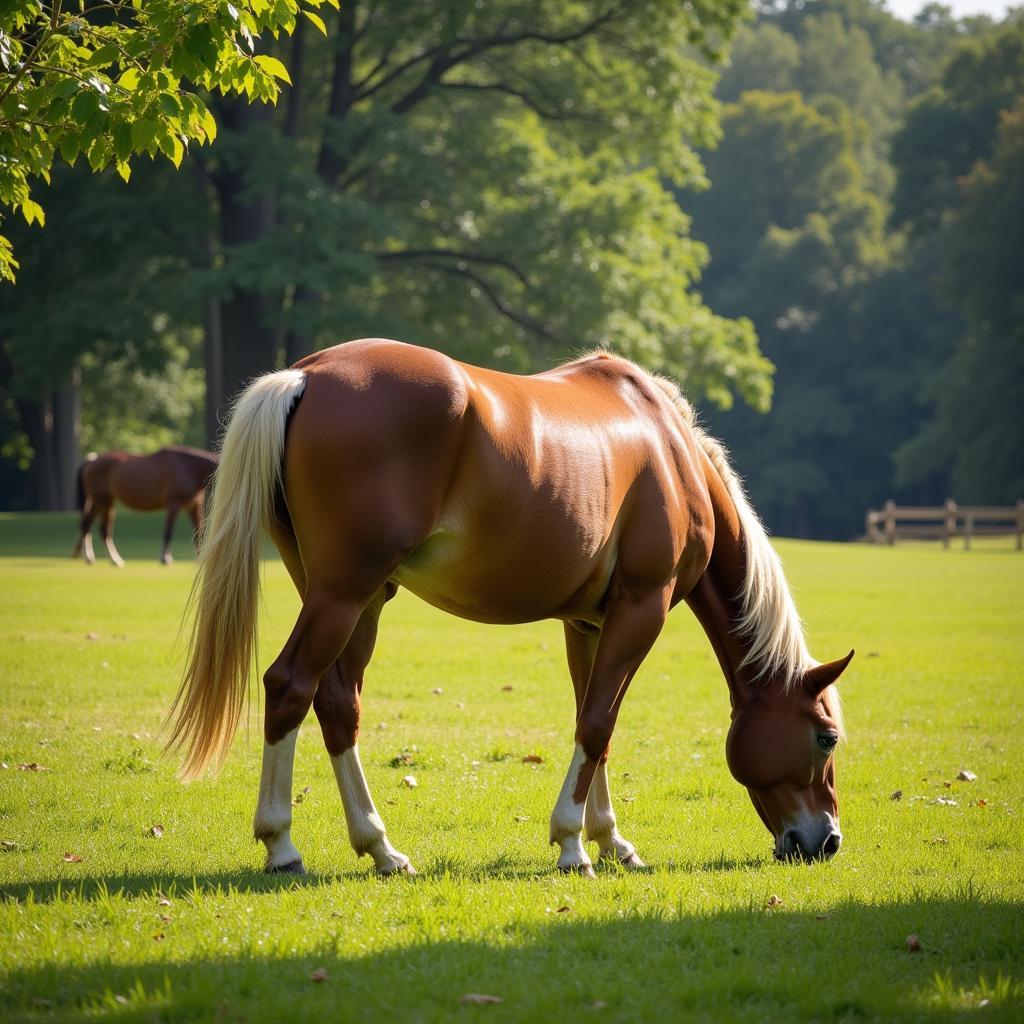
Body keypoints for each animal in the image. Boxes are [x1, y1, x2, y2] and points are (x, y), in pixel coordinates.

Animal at [75, 444, 220, 565]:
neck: (188, 467)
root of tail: (92, 461)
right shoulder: (173, 506)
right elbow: (168, 532)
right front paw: (165, 558)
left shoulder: (193, 507)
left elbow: (199, 534)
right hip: (103, 501)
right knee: (103, 530)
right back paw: (114, 559)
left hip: (100, 502)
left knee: (87, 525)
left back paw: (90, 558)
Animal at [169, 339, 856, 876]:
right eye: (825, 737)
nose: (825, 841)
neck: (668, 450)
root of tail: (307, 375)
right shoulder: (644, 607)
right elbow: (598, 723)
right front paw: (573, 845)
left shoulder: (589, 622)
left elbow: (595, 723)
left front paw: (610, 840)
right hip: (345, 594)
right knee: (289, 685)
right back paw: (283, 846)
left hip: (353, 599)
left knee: (337, 703)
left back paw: (381, 848)